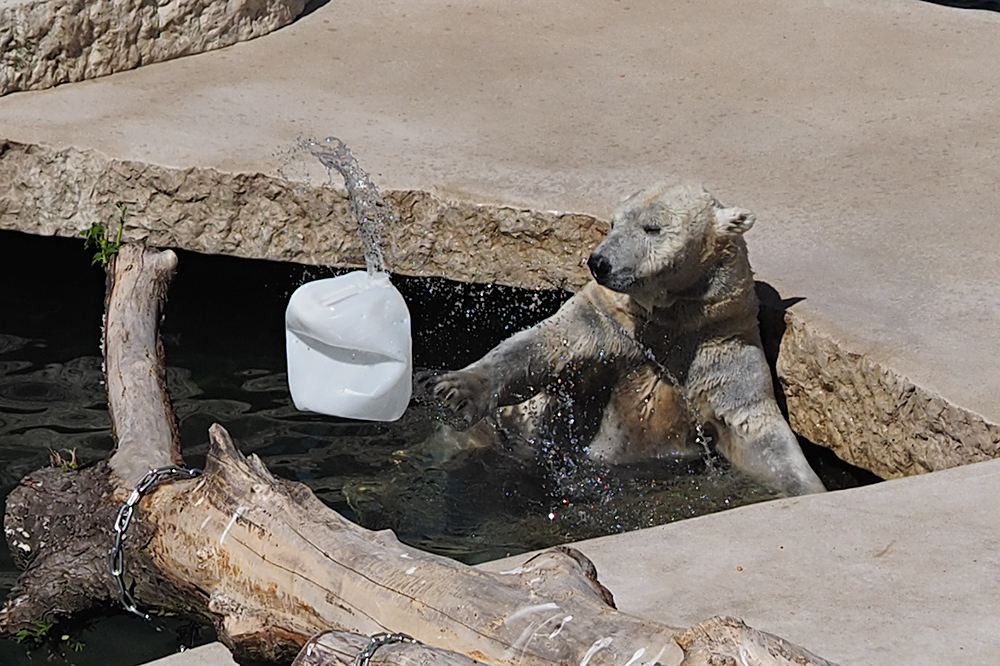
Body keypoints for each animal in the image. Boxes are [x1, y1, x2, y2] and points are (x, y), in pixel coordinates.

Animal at [426, 182, 824, 492]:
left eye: (652, 227)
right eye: (614, 222)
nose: (599, 262)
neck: (668, 323)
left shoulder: (721, 343)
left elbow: (753, 426)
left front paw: (808, 488)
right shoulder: (605, 324)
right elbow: (539, 348)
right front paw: (456, 389)